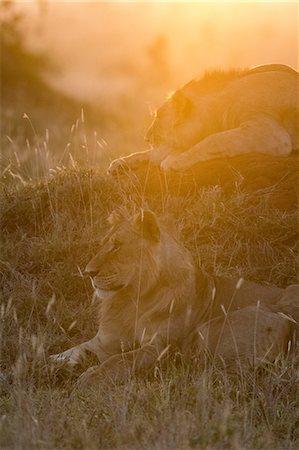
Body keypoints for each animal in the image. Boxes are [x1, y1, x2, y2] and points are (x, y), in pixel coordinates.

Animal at [50, 210, 298, 384]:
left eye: (117, 246)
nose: (88, 272)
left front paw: (90, 377)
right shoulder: (102, 342)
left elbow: (120, 360)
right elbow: (73, 350)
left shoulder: (158, 349)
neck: (132, 298)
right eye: (102, 245)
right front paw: (48, 362)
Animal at [109, 64, 299, 173]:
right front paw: (120, 162)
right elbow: (154, 153)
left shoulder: (270, 134)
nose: (146, 138)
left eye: (159, 117)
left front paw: (175, 161)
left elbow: (215, 140)